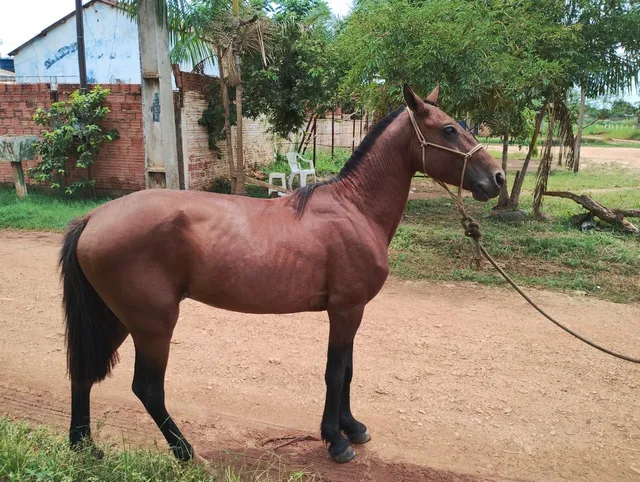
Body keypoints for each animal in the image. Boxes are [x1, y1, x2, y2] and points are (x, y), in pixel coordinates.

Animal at [60, 84, 504, 464]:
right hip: (152, 324)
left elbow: (348, 371)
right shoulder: (346, 310)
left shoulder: (351, 310)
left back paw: (85, 447)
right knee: (147, 388)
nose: (497, 178)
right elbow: (335, 373)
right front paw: (336, 440)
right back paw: (185, 452)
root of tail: (93, 218)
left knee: (82, 373)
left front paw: (352, 427)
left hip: (115, 318)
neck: (355, 208)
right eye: (449, 129)